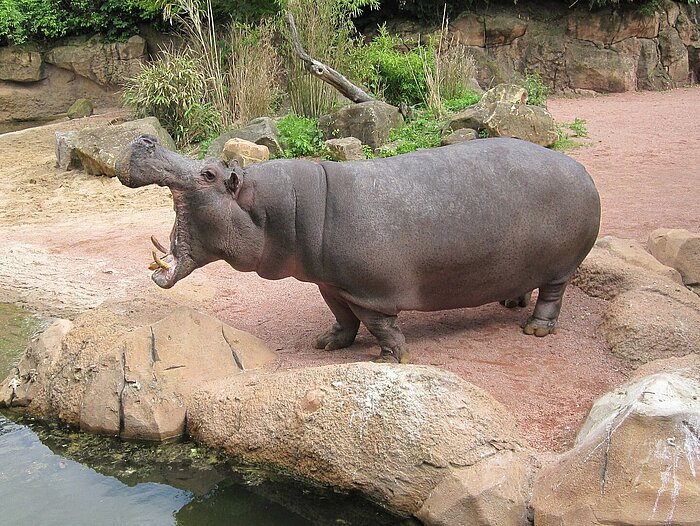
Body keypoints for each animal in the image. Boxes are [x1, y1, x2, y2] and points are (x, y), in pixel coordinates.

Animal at [116, 137, 600, 364]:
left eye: (209, 173)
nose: (144, 139)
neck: (276, 209)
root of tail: (581, 168)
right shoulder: (329, 283)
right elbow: (342, 316)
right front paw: (326, 343)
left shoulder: (371, 290)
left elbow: (379, 323)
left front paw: (390, 357)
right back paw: (509, 301)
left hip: (562, 266)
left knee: (553, 295)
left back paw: (534, 330)